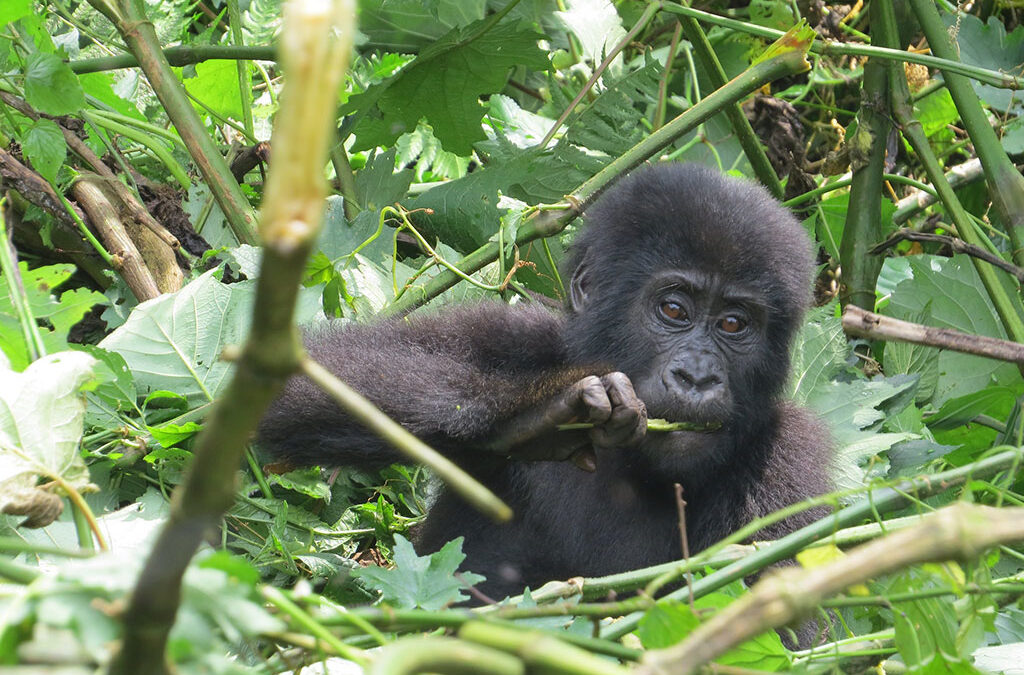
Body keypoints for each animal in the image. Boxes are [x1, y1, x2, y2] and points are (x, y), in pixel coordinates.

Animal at [258, 162, 832, 602]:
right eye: (673, 309)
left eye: (734, 324)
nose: (697, 376)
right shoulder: (510, 331)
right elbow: (298, 384)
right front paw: (542, 412)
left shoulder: (789, 459)